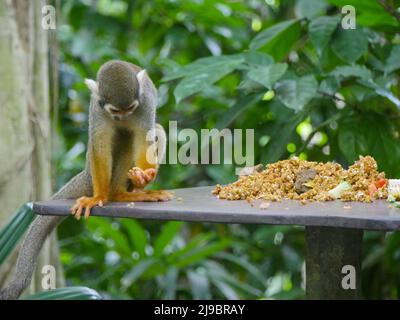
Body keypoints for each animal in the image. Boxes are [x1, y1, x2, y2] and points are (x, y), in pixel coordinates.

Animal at [0, 60, 170, 300]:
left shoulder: (144, 104)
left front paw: (143, 176)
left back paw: (132, 190)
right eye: (115, 111)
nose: (122, 118)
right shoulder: (97, 110)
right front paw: (98, 197)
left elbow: (144, 136)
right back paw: (116, 194)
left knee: (153, 131)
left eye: (130, 109)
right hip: (92, 168)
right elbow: (100, 144)